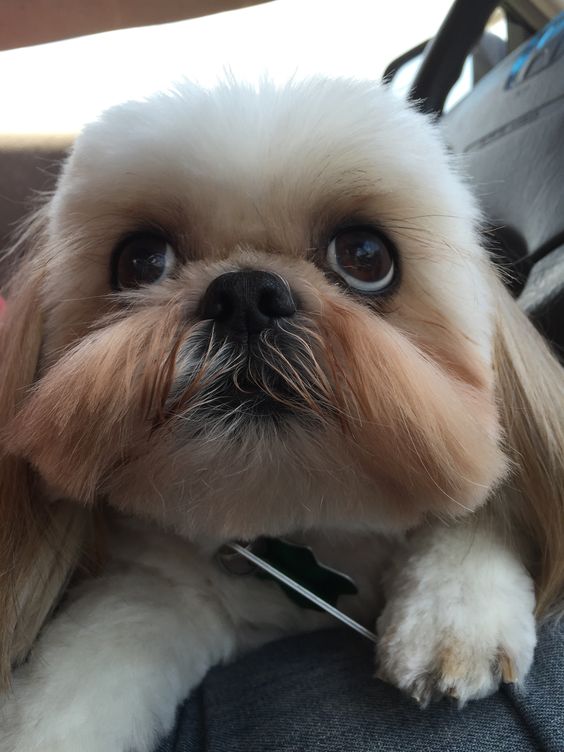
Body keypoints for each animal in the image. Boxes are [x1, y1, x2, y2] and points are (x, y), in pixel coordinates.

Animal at [1, 78, 564, 752]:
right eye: (140, 261)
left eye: (365, 255)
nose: (245, 294)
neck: (298, 516)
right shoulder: (163, 590)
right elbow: (81, 671)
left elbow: (479, 504)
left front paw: (457, 613)